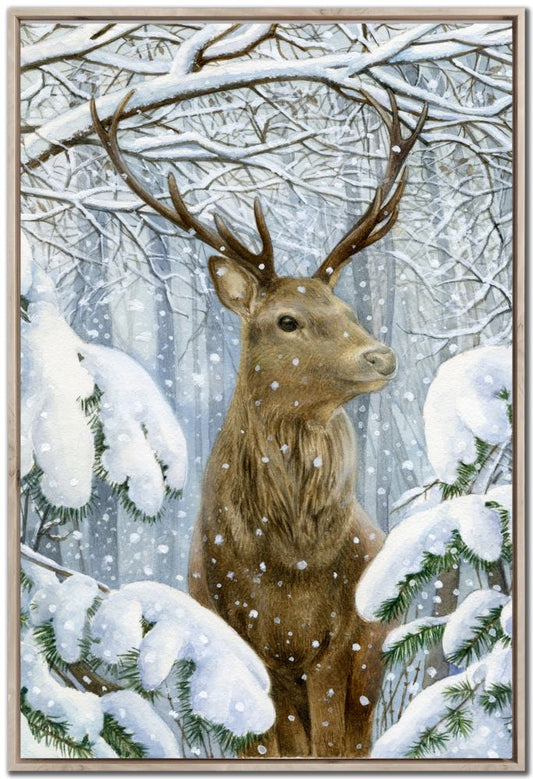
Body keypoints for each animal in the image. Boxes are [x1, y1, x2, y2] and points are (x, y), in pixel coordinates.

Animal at [92, 90, 427, 759]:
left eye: (346, 309)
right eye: (287, 320)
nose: (381, 356)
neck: (289, 562)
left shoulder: (338, 642)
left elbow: (328, 748)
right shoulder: (250, 648)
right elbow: (281, 745)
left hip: (371, 660)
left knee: (357, 736)